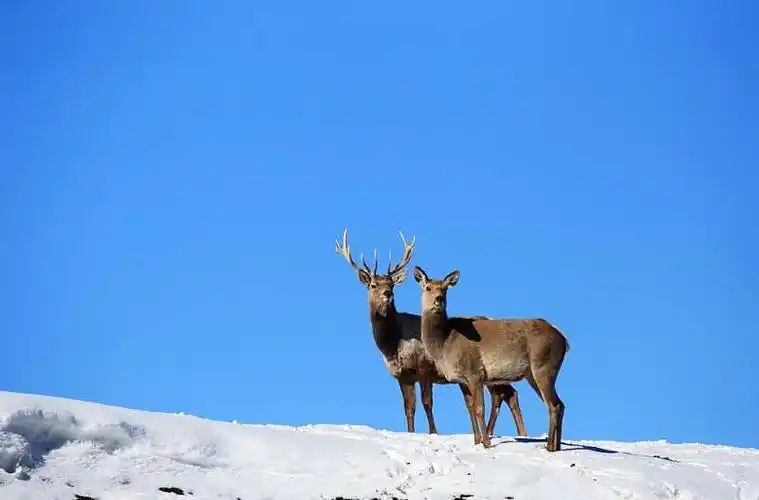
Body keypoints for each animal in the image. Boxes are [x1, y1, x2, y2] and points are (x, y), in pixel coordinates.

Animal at [335, 229, 527, 438]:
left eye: (391, 284)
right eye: (373, 285)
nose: (387, 293)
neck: (392, 344)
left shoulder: (424, 368)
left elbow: (426, 403)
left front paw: (433, 432)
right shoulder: (402, 375)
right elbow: (409, 408)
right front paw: (411, 433)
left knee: (505, 395)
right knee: (508, 394)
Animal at [413, 266, 570, 451]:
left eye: (445, 289)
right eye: (428, 287)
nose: (439, 300)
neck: (445, 343)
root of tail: (565, 341)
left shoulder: (475, 372)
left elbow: (479, 408)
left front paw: (486, 443)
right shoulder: (461, 379)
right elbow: (470, 408)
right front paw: (476, 441)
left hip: (544, 366)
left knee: (553, 404)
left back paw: (549, 447)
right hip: (532, 374)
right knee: (560, 404)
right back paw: (556, 446)